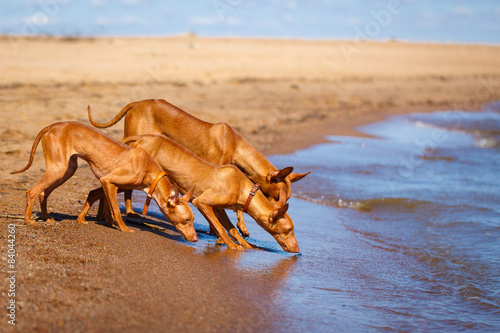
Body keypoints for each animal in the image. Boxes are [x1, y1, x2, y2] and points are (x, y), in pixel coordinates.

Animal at [9, 122, 197, 241]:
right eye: (187, 219)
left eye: (193, 219)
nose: (195, 239)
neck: (148, 169)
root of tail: (52, 126)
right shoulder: (108, 181)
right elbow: (115, 209)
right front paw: (123, 228)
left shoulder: (110, 184)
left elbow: (102, 202)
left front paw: (89, 220)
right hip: (58, 169)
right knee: (31, 192)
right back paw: (28, 220)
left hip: (66, 170)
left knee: (43, 193)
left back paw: (47, 218)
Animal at [83, 133, 298, 252]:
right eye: (288, 230)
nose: (297, 250)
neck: (245, 189)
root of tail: (142, 137)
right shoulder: (202, 203)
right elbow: (221, 229)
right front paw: (232, 246)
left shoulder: (219, 209)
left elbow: (231, 228)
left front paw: (245, 245)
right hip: (135, 180)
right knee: (103, 188)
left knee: (101, 189)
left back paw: (105, 219)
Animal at [88, 100, 310, 235]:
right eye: (277, 196)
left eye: (287, 199)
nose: (277, 213)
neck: (235, 144)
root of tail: (138, 102)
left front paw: (239, 226)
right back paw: (122, 214)